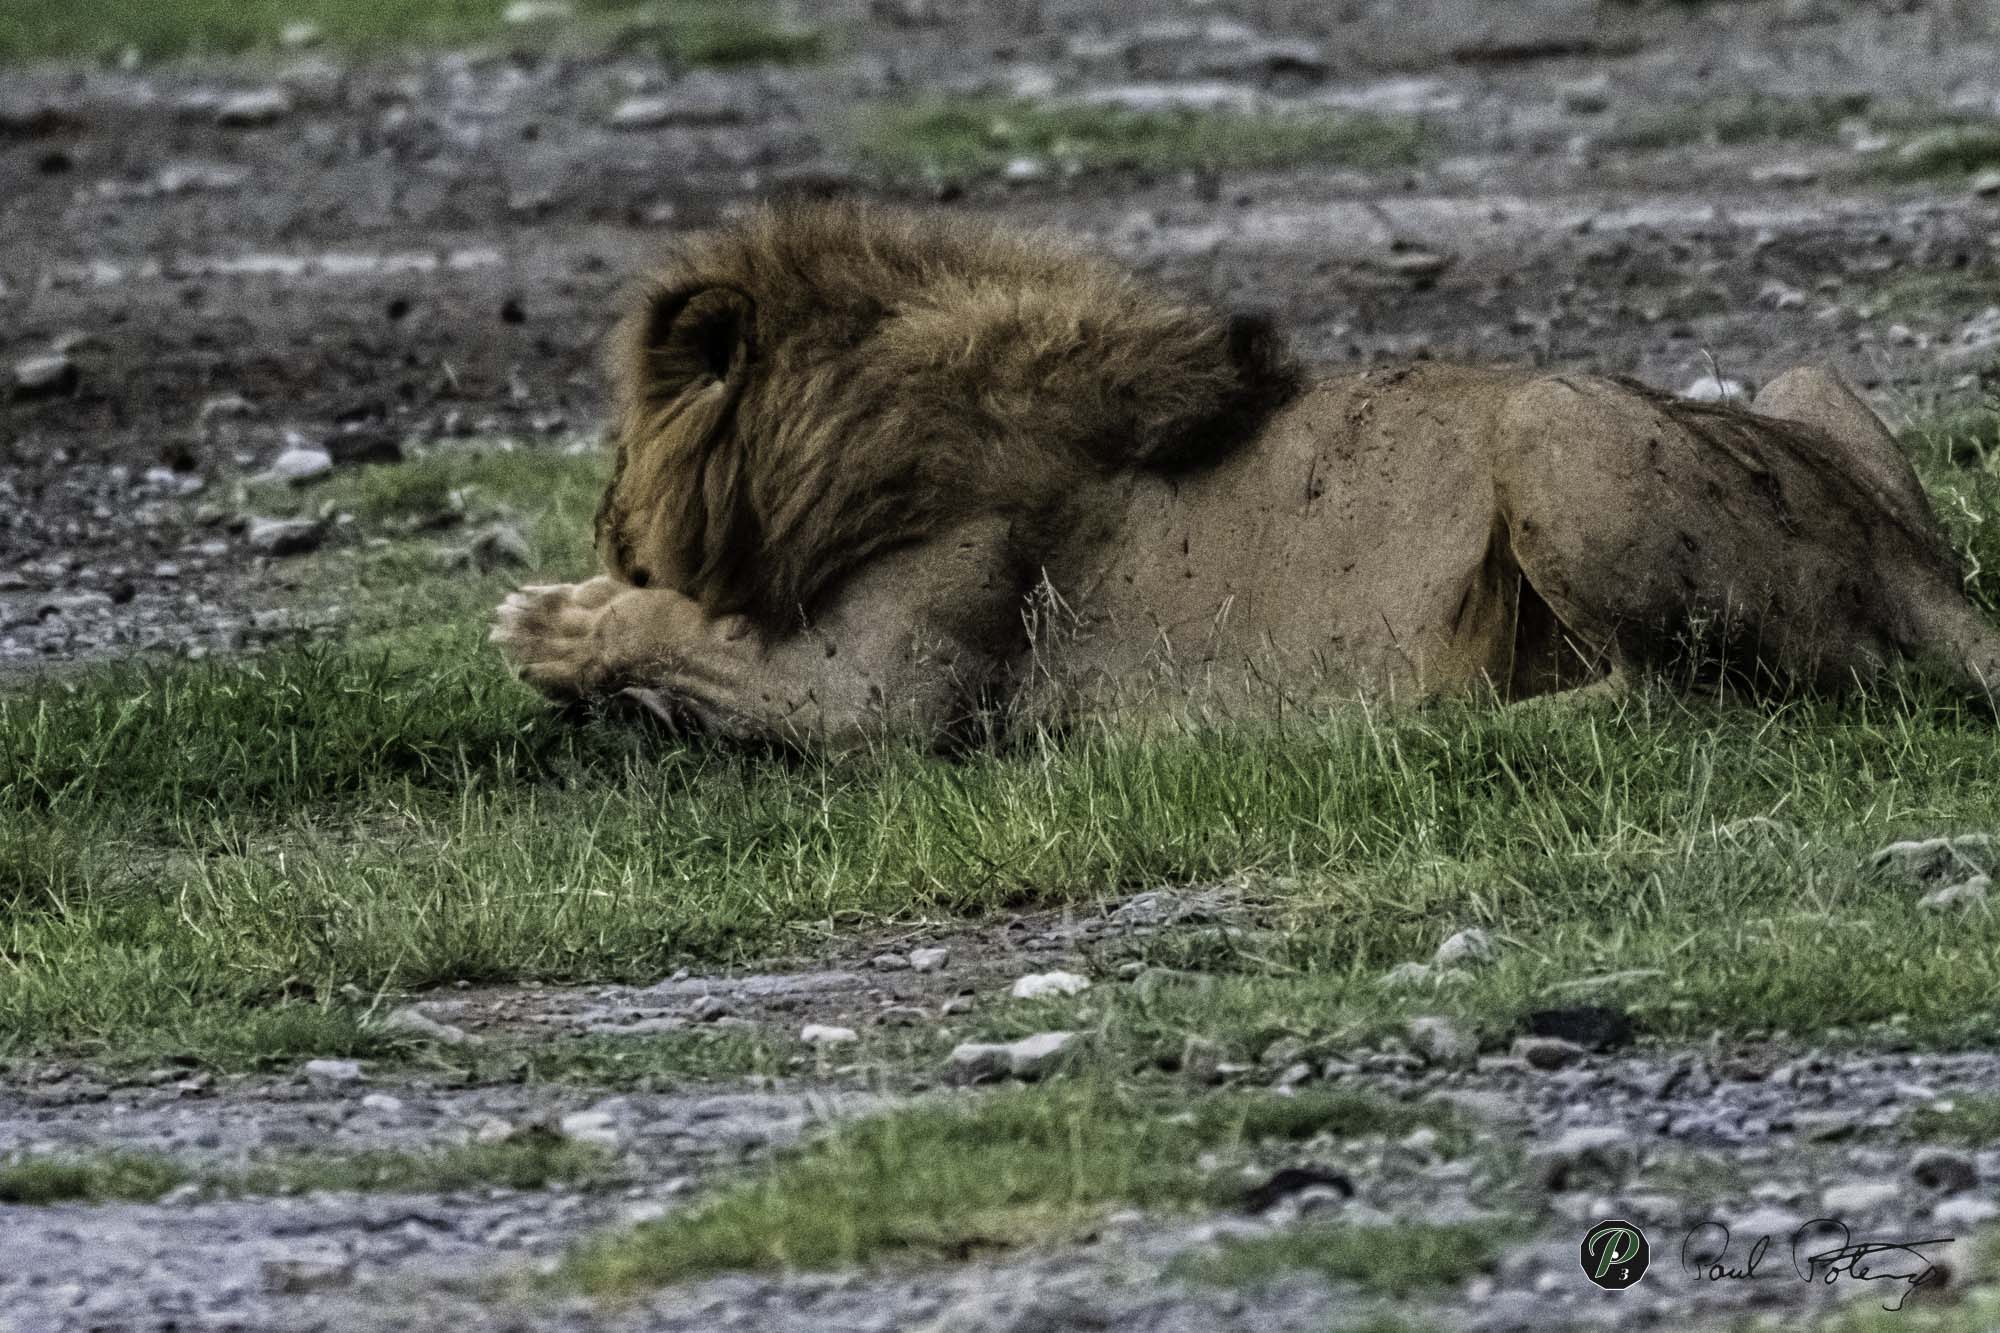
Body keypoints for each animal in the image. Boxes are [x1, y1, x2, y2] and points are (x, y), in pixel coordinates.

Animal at [491, 201, 2000, 750]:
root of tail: (1908, 566)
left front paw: (552, 622)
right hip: (1799, 384)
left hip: (1547, 426)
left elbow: (695, 637)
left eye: (619, 437)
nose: (601, 519)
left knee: (1674, 696)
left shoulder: (891, 688)